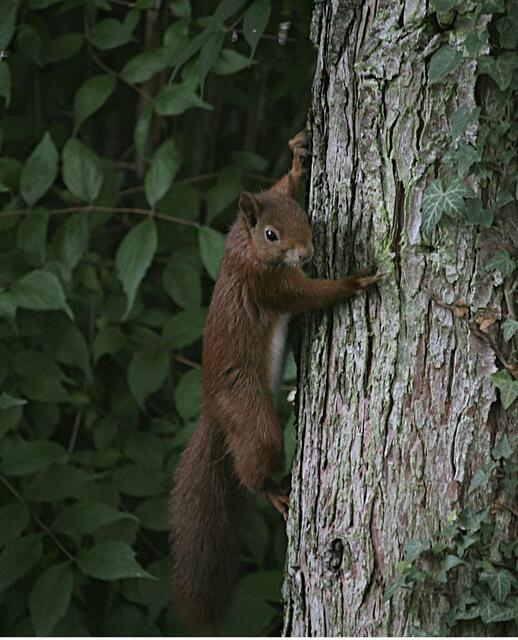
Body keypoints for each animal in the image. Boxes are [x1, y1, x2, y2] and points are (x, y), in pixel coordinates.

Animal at [170, 131, 381, 633]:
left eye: (304, 217)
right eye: (271, 234)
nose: (306, 254)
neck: (244, 247)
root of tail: (212, 410)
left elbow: (276, 186)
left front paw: (298, 158)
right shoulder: (268, 285)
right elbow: (306, 294)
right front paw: (351, 282)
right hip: (250, 415)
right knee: (251, 465)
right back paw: (272, 491)